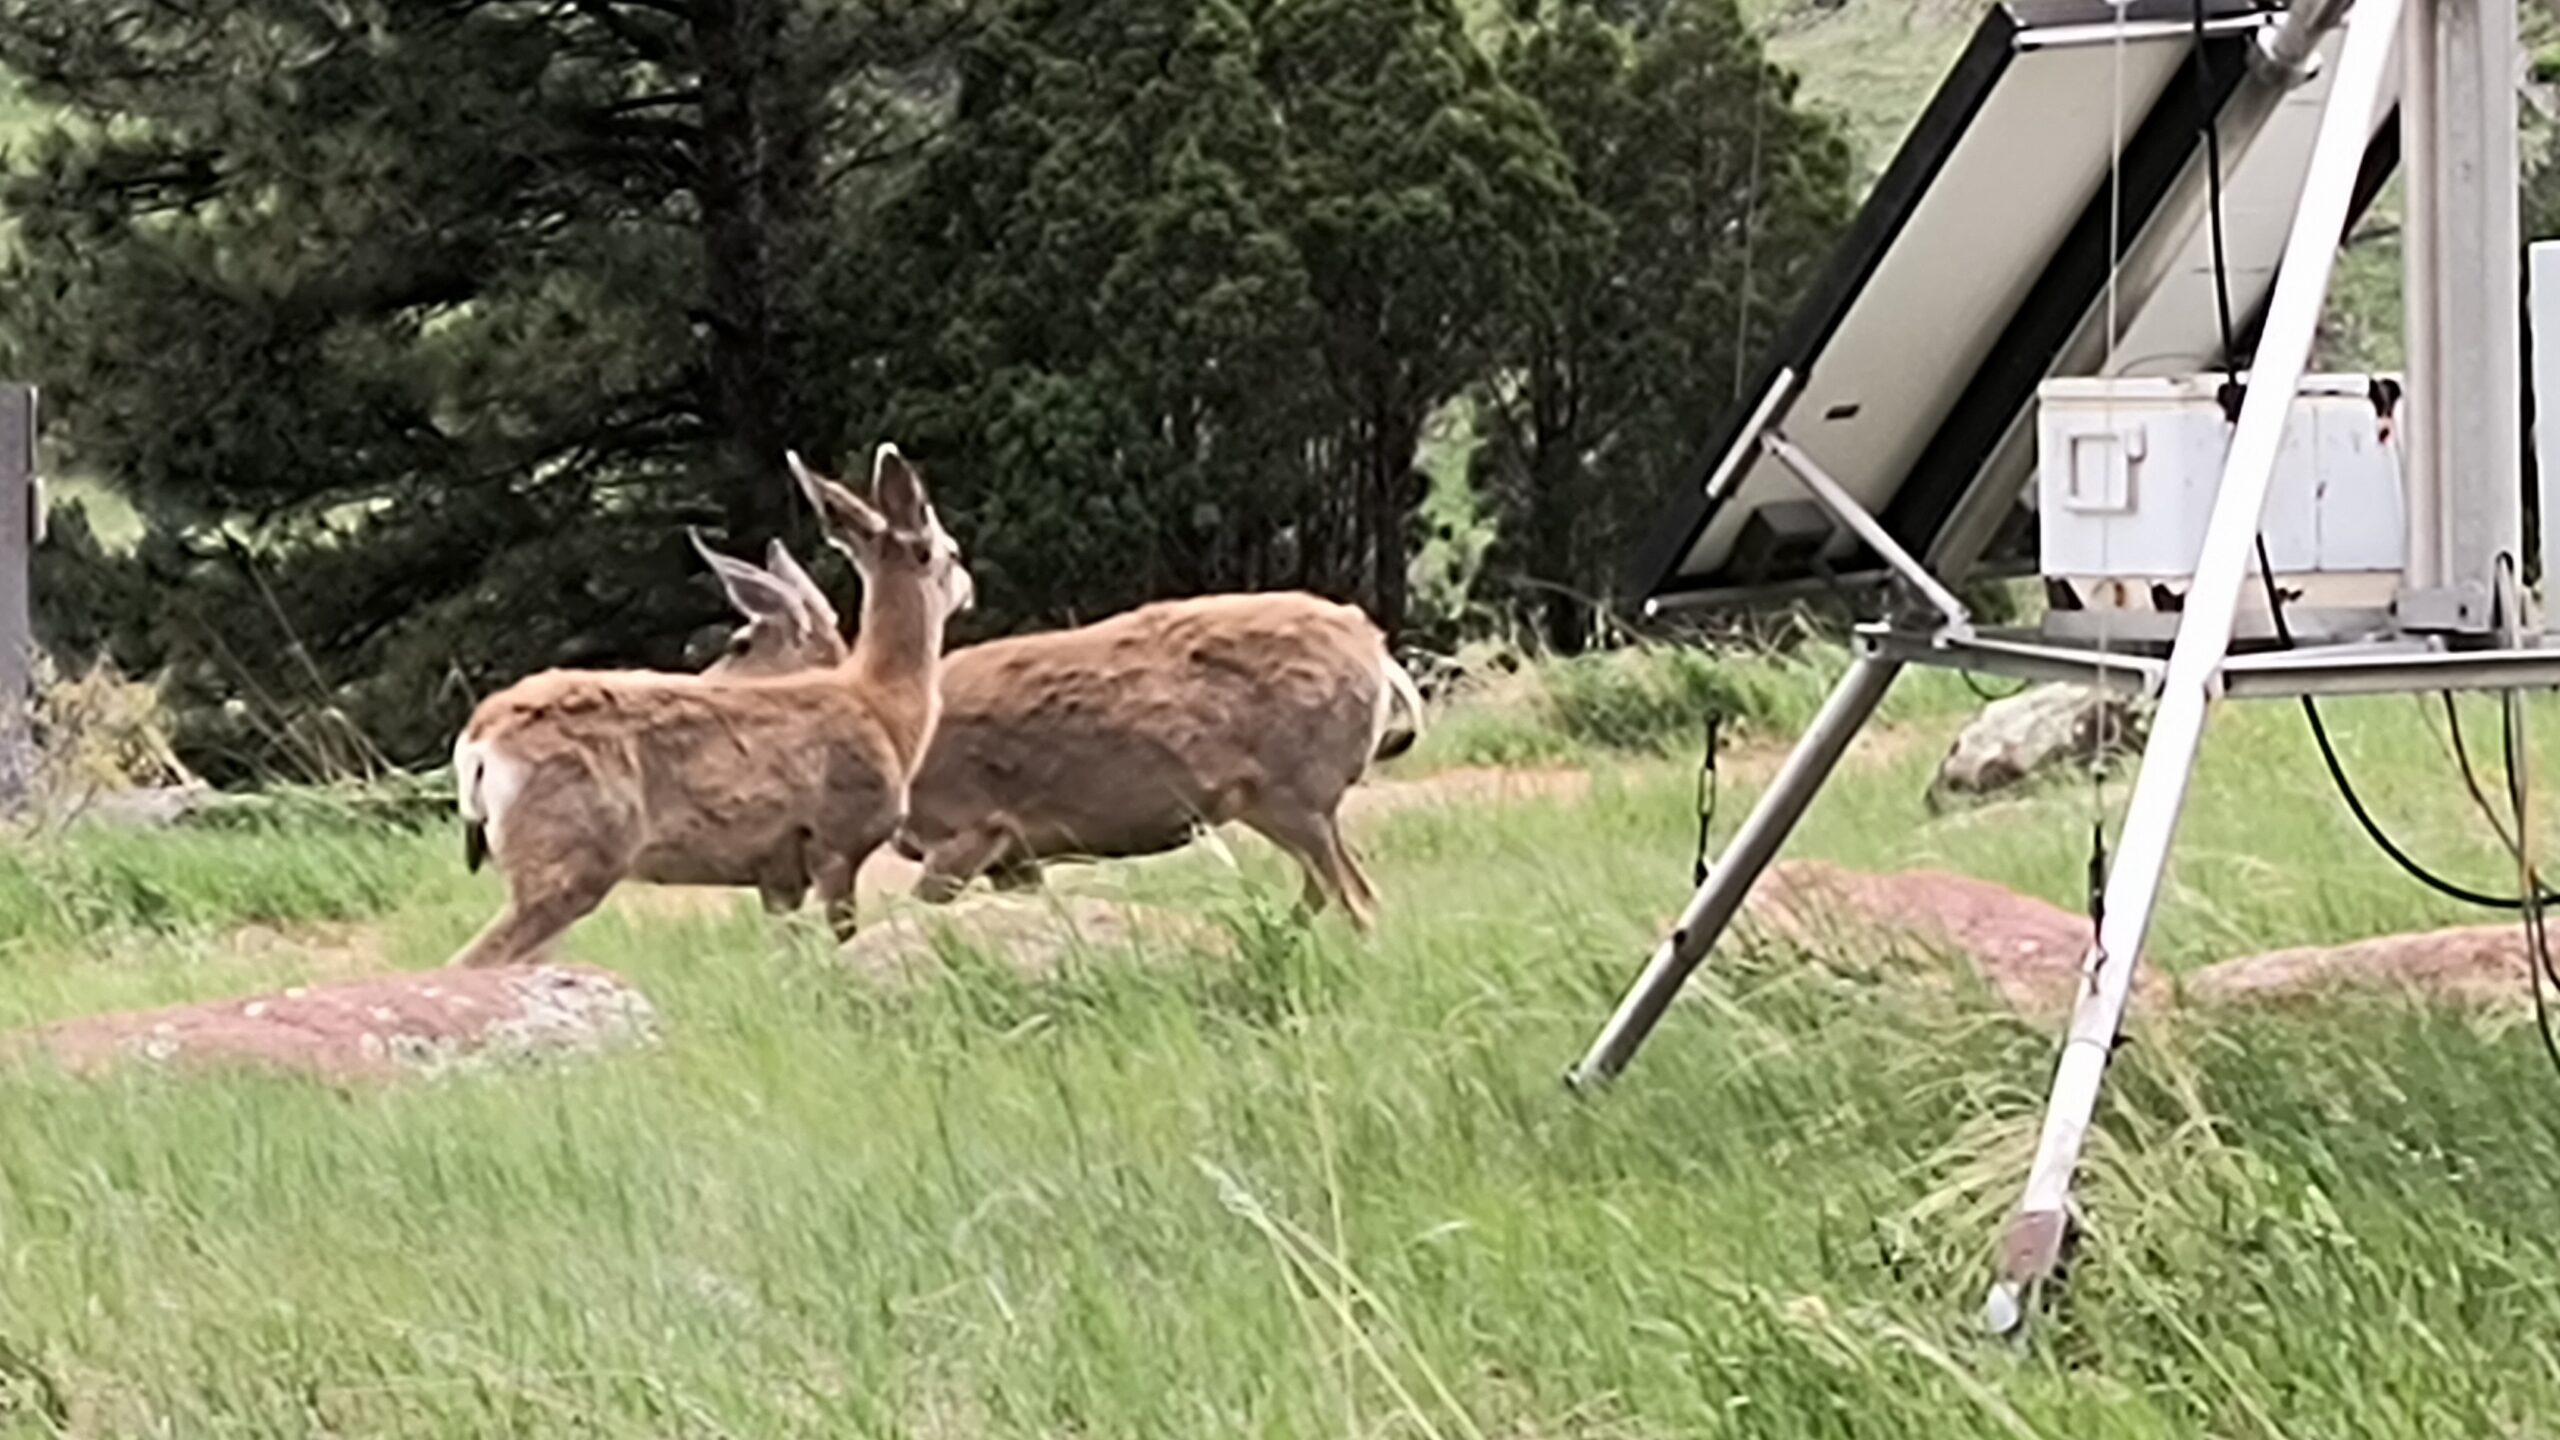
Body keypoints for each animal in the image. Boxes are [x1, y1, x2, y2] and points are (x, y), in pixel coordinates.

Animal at [446, 443, 972, 967]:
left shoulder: (778, 876)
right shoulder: (836, 840)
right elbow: (844, 938)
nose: (968, 587)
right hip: (570, 856)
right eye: (952, 552)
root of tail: (478, 742)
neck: (881, 704)